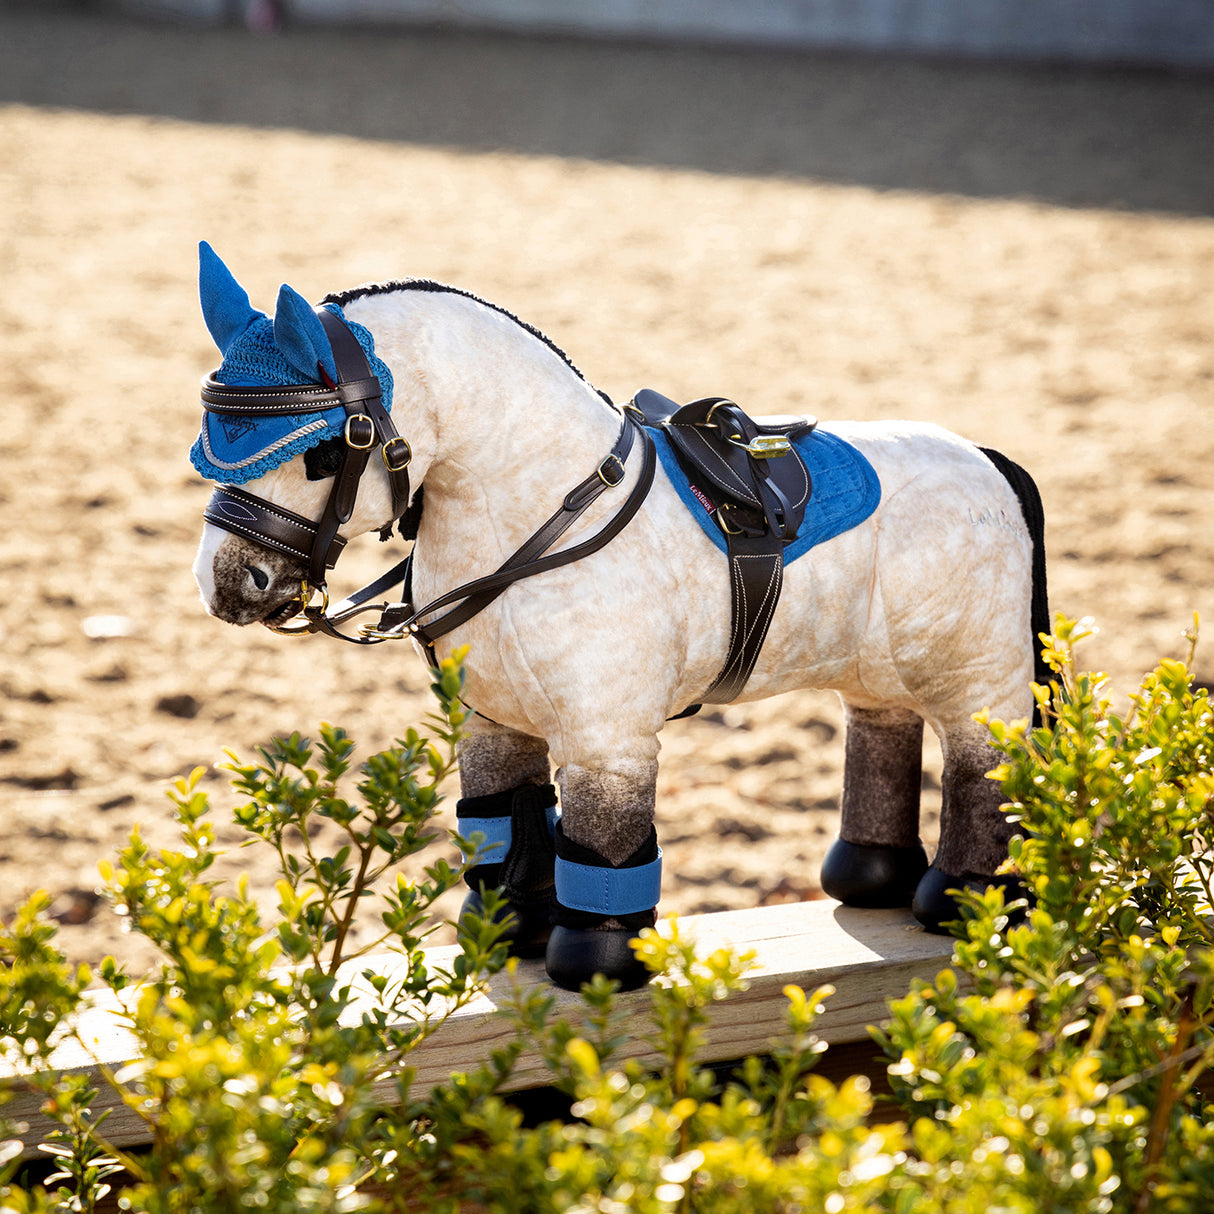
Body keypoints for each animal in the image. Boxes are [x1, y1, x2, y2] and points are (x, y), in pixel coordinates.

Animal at [190, 242, 1047, 991]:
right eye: (208, 445)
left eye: (326, 452)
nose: (227, 584)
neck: (540, 512)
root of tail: (984, 456)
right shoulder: (493, 723)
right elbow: (507, 823)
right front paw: (508, 934)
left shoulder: (608, 742)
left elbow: (604, 848)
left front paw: (595, 967)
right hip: (879, 668)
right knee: (882, 728)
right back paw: (870, 877)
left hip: (980, 680)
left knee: (981, 765)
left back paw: (967, 899)